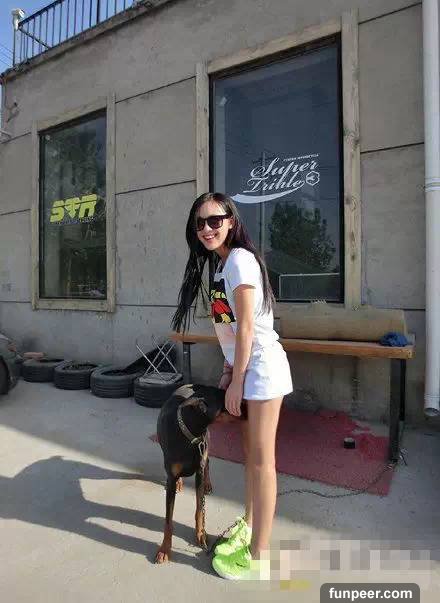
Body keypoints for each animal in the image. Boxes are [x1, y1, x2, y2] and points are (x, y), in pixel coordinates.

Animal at [154, 382, 247, 564]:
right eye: (226, 398)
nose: (247, 406)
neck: (189, 434)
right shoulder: (172, 476)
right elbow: (168, 520)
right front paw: (165, 549)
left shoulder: (199, 469)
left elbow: (199, 508)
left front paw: (201, 534)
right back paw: (180, 483)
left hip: (206, 444)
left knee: (208, 463)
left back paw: (208, 484)